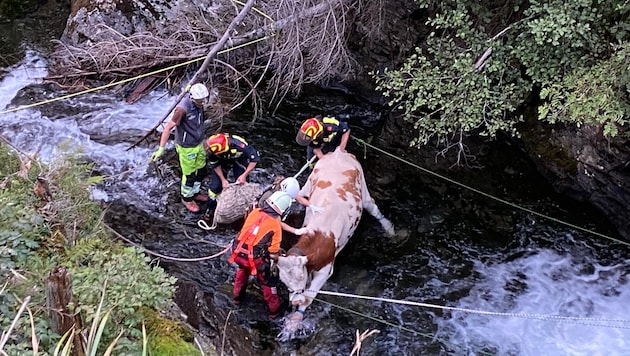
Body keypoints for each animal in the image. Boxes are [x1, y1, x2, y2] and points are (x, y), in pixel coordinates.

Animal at [278, 147, 396, 328]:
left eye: (300, 276)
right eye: (283, 281)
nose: (294, 301)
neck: (319, 235)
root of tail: (338, 152)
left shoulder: (326, 269)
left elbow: (309, 295)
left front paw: (295, 321)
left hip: (363, 189)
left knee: (373, 207)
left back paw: (390, 230)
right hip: (307, 185)